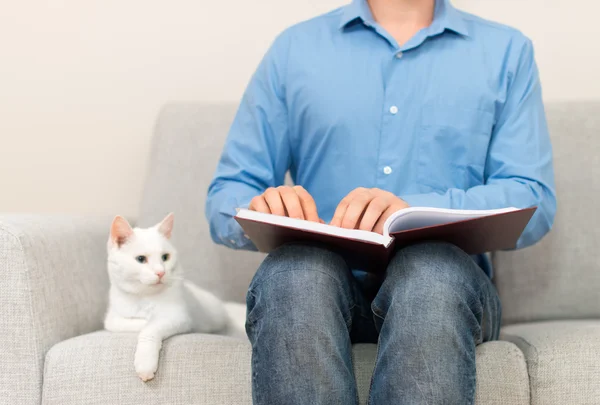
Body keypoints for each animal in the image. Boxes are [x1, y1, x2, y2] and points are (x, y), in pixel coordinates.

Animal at [103, 213, 246, 380]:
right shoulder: (112, 319)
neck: (145, 297)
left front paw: (145, 364)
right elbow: (136, 323)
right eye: (141, 259)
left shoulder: (179, 316)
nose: (161, 272)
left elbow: (150, 329)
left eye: (165, 257)